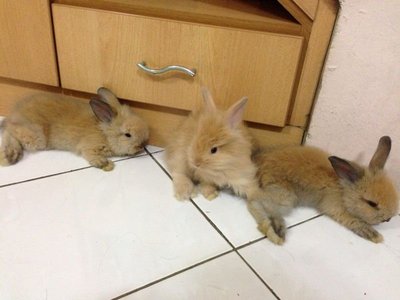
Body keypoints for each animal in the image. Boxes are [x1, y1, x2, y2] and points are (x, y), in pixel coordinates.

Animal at [0, 87, 149, 171]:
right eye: (128, 135)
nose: (142, 146)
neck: (105, 133)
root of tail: (15, 112)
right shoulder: (89, 147)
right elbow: (90, 155)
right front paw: (105, 164)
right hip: (36, 138)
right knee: (9, 129)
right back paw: (9, 156)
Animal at [248, 137, 398, 245]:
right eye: (371, 203)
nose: (388, 219)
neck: (343, 191)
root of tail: (258, 163)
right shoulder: (336, 208)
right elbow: (355, 222)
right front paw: (375, 236)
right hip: (285, 196)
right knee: (255, 202)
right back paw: (275, 231)